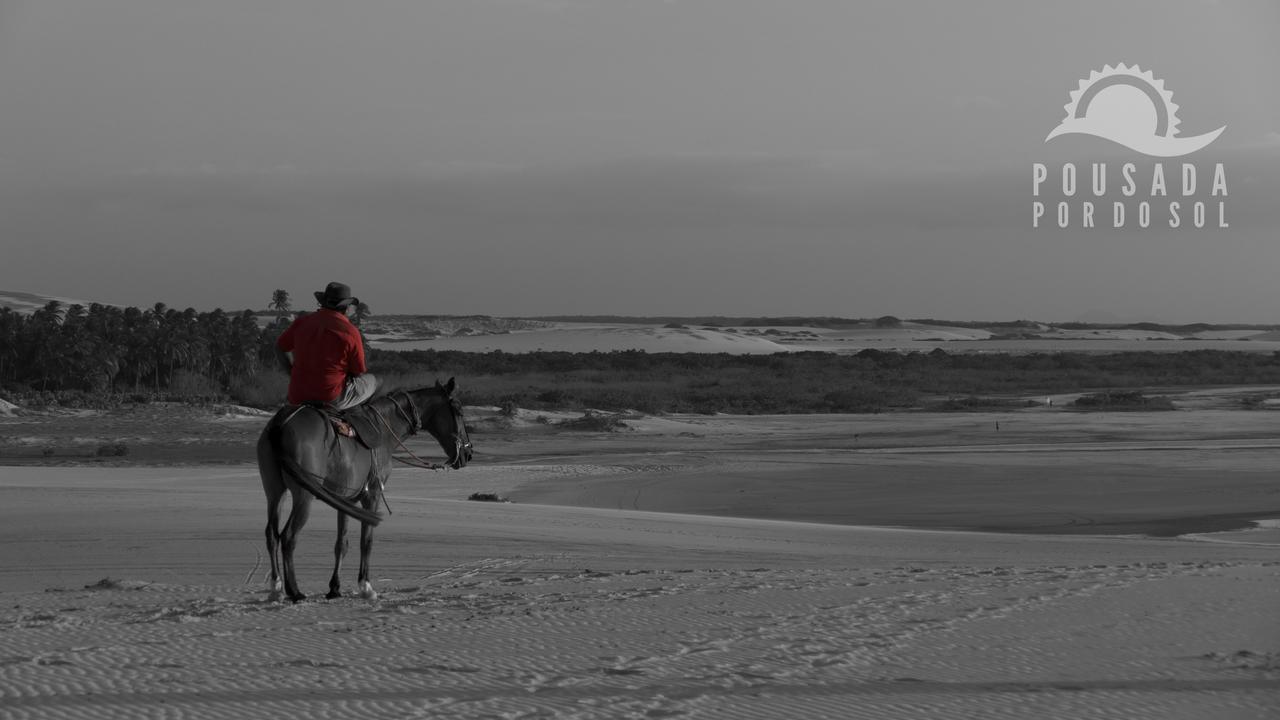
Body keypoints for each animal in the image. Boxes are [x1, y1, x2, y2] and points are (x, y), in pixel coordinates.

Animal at [253, 376, 471, 599]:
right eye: (459, 411)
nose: (467, 454)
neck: (383, 430)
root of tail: (280, 424)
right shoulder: (372, 495)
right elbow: (366, 540)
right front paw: (365, 585)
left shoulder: (345, 499)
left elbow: (342, 543)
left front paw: (335, 587)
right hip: (304, 496)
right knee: (288, 536)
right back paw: (294, 590)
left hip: (274, 491)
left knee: (272, 534)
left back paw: (276, 586)